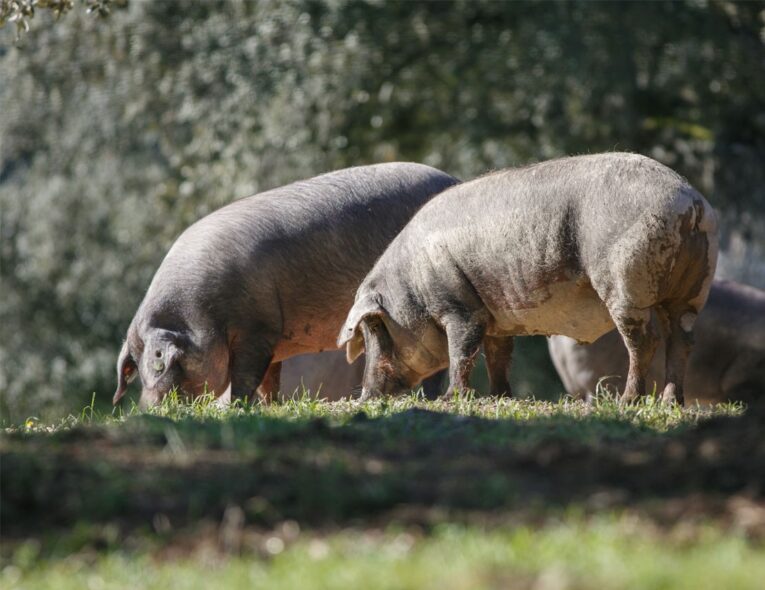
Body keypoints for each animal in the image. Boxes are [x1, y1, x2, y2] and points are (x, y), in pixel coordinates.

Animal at [114, 163, 459, 407]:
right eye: (137, 367)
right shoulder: (274, 341)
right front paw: (272, 406)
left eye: (160, 362)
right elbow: (269, 381)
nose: (146, 407)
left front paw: (237, 407)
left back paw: (429, 399)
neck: (201, 312)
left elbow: (246, 377)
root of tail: (453, 180)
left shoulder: (257, 329)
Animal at [339, 153, 718, 405]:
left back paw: (627, 401)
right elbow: (498, 355)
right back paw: (671, 402)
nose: (365, 396)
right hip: (691, 290)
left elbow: (461, 352)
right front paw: (500, 397)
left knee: (645, 340)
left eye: (376, 327)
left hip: (625, 283)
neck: (412, 285)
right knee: (682, 340)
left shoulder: (460, 308)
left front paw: (451, 399)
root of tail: (691, 204)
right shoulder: (495, 317)